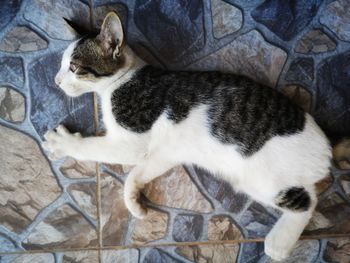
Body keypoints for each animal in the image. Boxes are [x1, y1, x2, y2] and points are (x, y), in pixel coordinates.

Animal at [43, 12, 330, 262]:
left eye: (73, 67)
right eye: (61, 64)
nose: (56, 81)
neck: (122, 81)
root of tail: (326, 148)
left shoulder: (132, 141)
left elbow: (93, 147)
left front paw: (62, 143)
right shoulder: (165, 154)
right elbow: (137, 173)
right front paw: (134, 201)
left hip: (267, 179)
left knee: (309, 202)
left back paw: (278, 244)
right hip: (249, 181)